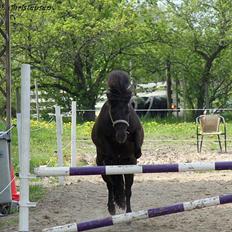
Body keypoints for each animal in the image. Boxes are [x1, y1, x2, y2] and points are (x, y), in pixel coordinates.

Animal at [91, 70, 143, 215]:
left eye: (128, 111)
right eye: (112, 111)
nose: (121, 136)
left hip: (128, 167)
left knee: (126, 188)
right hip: (102, 166)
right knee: (110, 185)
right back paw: (111, 208)